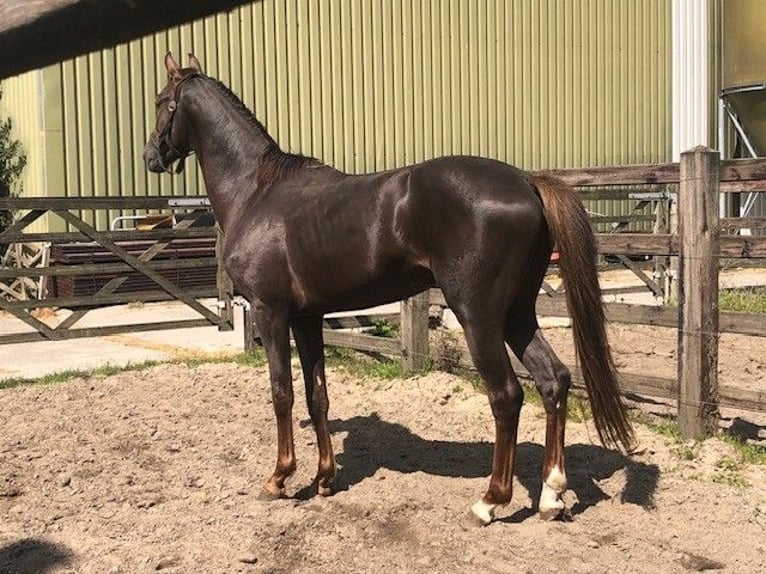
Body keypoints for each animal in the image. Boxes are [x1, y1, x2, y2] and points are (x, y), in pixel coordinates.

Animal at [144, 52, 633, 525]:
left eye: (161, 101)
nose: (151, 156)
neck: (257, 191)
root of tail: (526, 182)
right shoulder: (308, 317)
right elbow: (317, 395)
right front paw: (324, 480)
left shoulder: (270, 312)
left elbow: (282, 392)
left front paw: (279, 478)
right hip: (517, 314)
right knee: (553, 381)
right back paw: (551, 496)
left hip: (478, 316)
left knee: (507, 397)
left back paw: (489, 502)